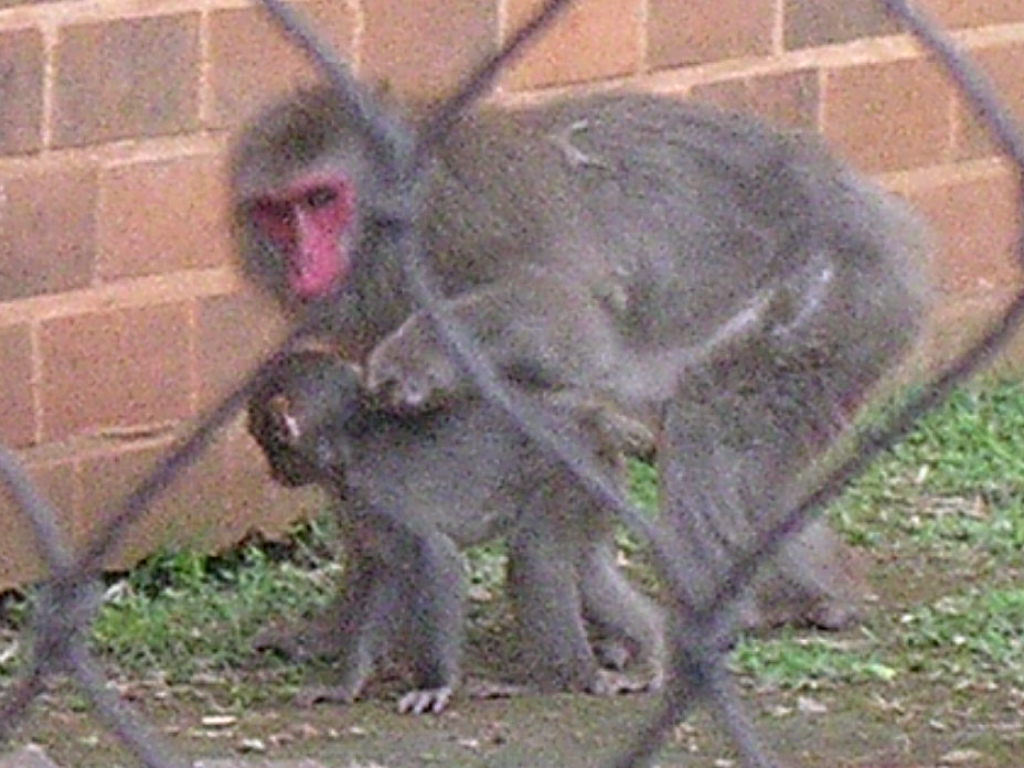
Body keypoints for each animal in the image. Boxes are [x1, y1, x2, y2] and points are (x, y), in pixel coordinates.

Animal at [246, 349, 666, 712]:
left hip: (570, 471)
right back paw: (649, 653)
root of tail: (594, 420)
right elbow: (389, 573)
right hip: (597, 479)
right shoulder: (361, 507)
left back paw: (559, 680)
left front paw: (434, 684)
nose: (271, 470)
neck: (350, 442)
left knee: (535, 554)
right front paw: (345, 685)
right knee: (587, 564)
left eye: (262, 437)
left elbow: (437, 555)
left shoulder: (378, 492)